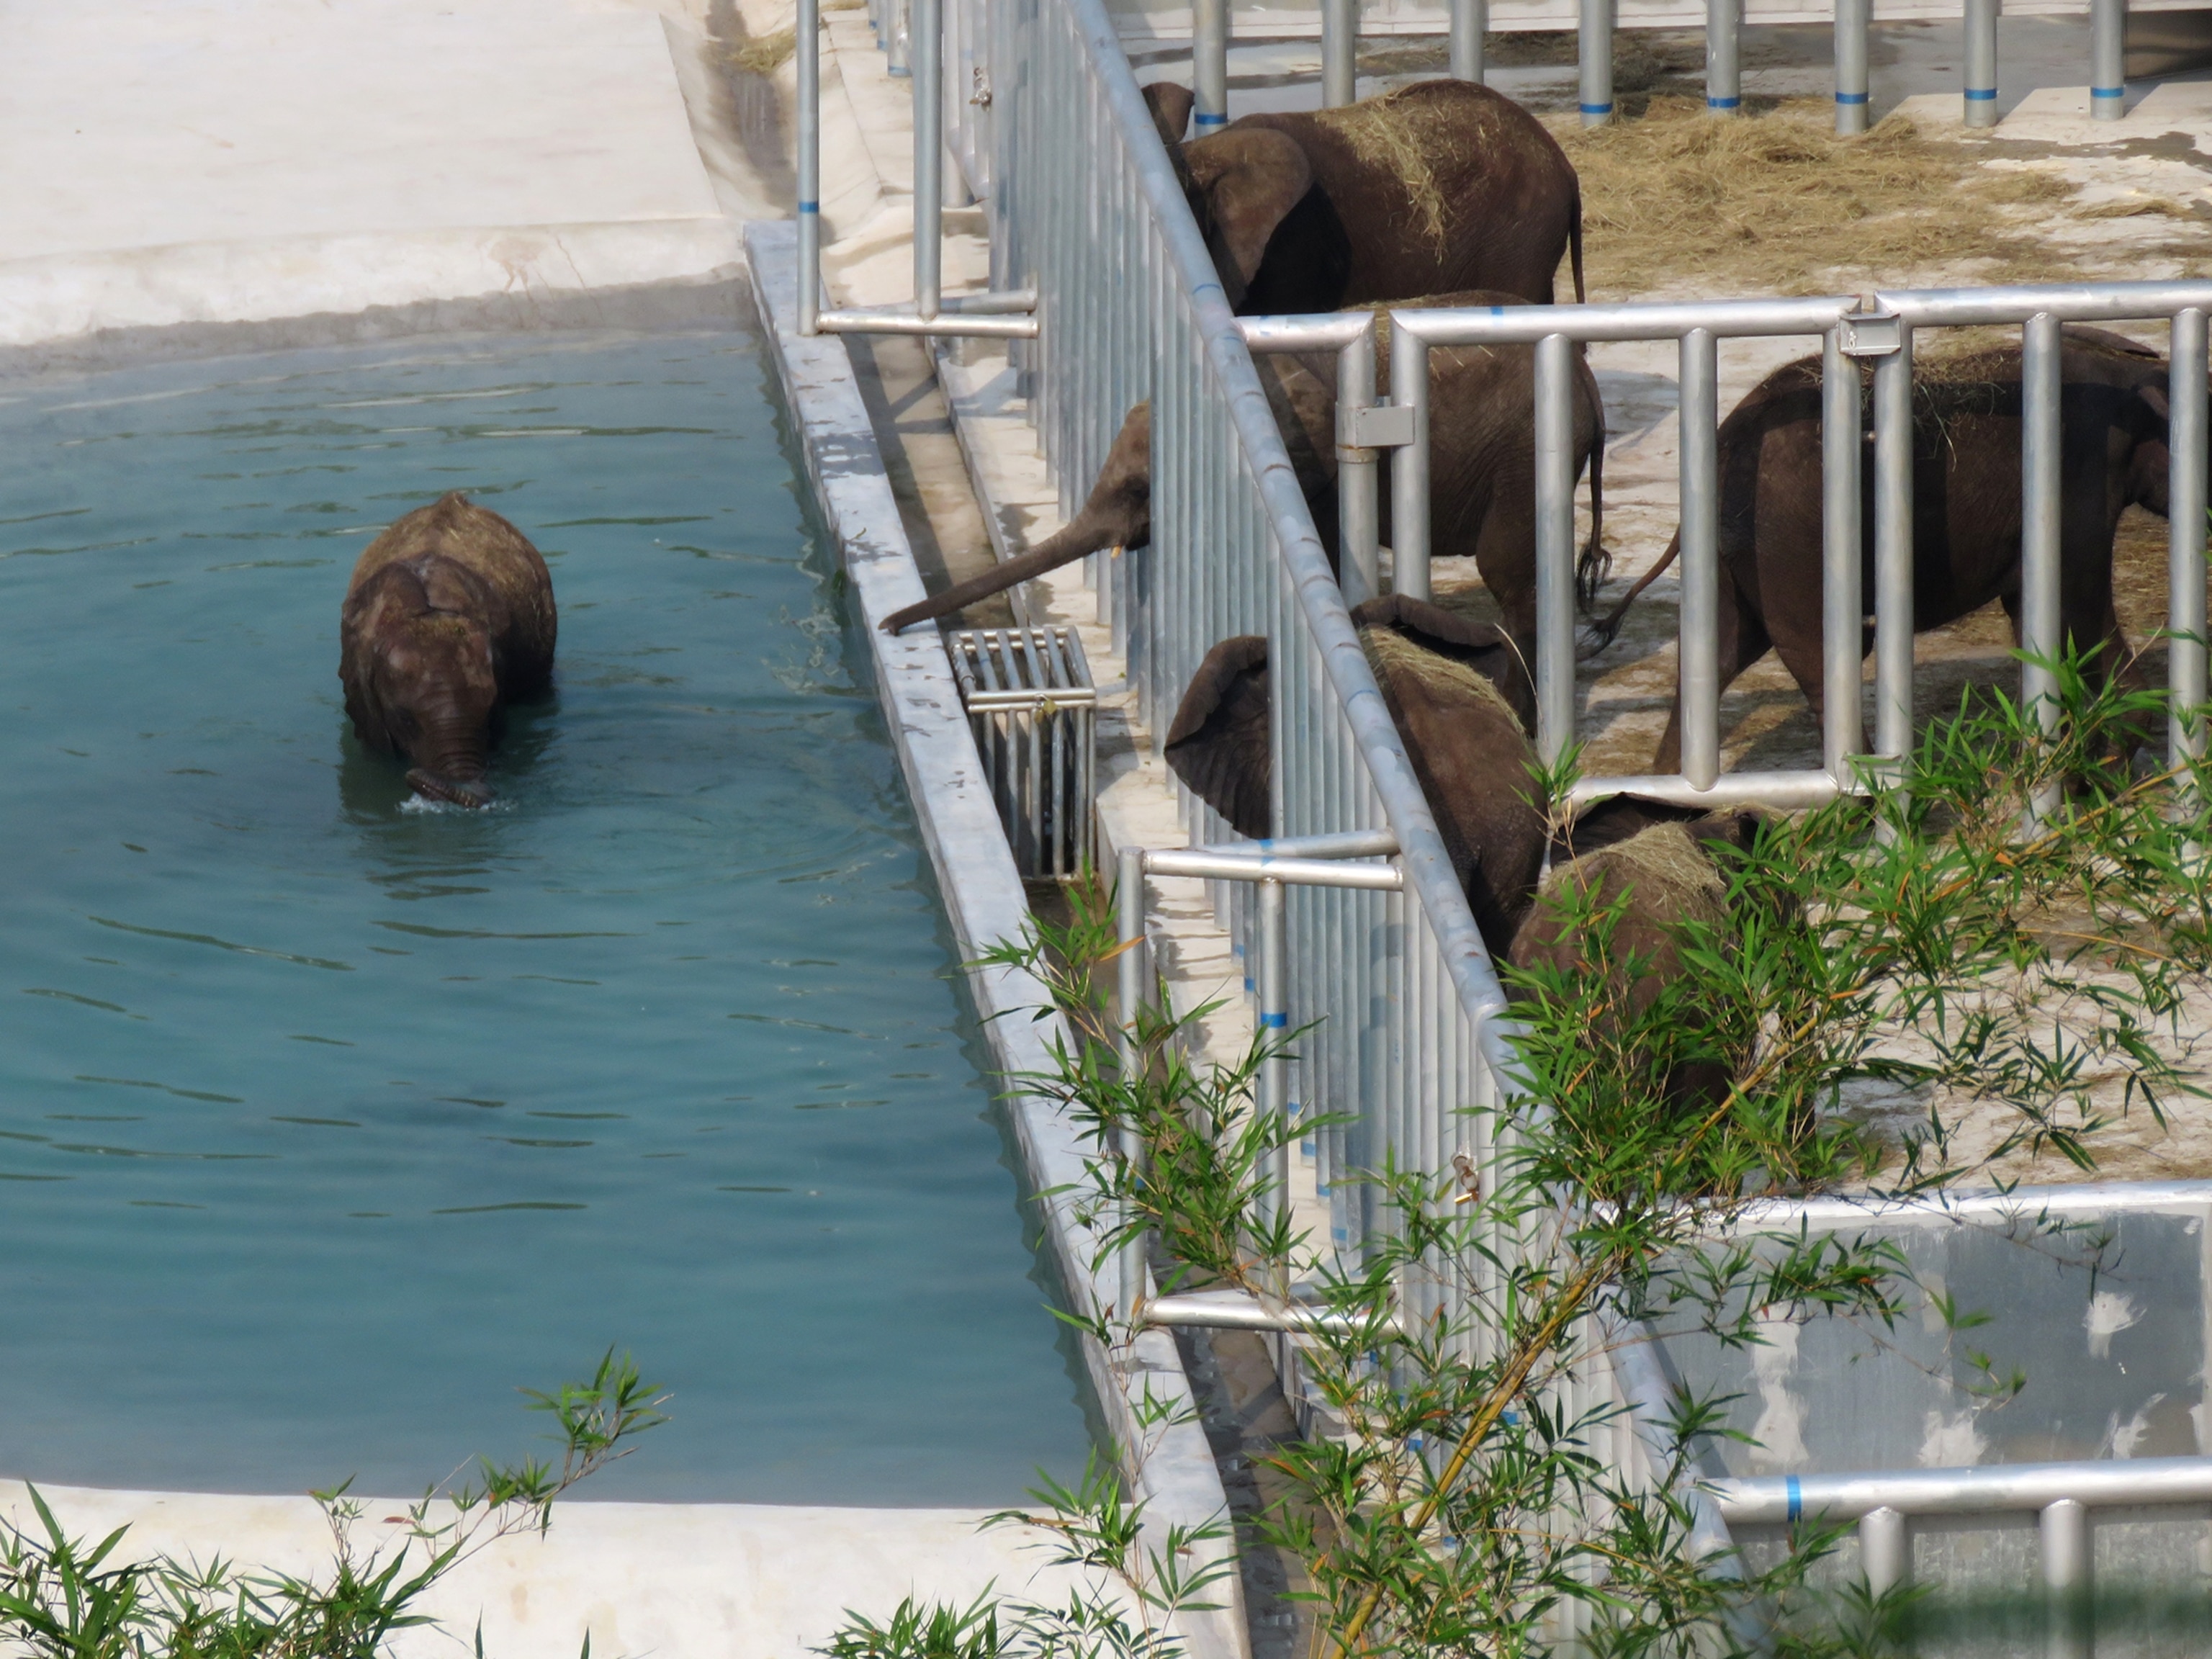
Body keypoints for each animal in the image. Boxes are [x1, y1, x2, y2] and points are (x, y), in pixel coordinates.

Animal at [879, 291, 1609, 731]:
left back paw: (1521, 715)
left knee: (1509, 574)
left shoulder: (1315, 466)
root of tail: (1591, 387)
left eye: (1139, 490)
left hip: (1524, 452)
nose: (890, 626)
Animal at [1591, 328, 2175, 773]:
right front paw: (2097, 774)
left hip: (1739, 551)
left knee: (1720, 654)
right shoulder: (2080, 486)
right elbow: (2076, 610)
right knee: (1817, 662)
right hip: (1789, 543)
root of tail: (1726, 440)